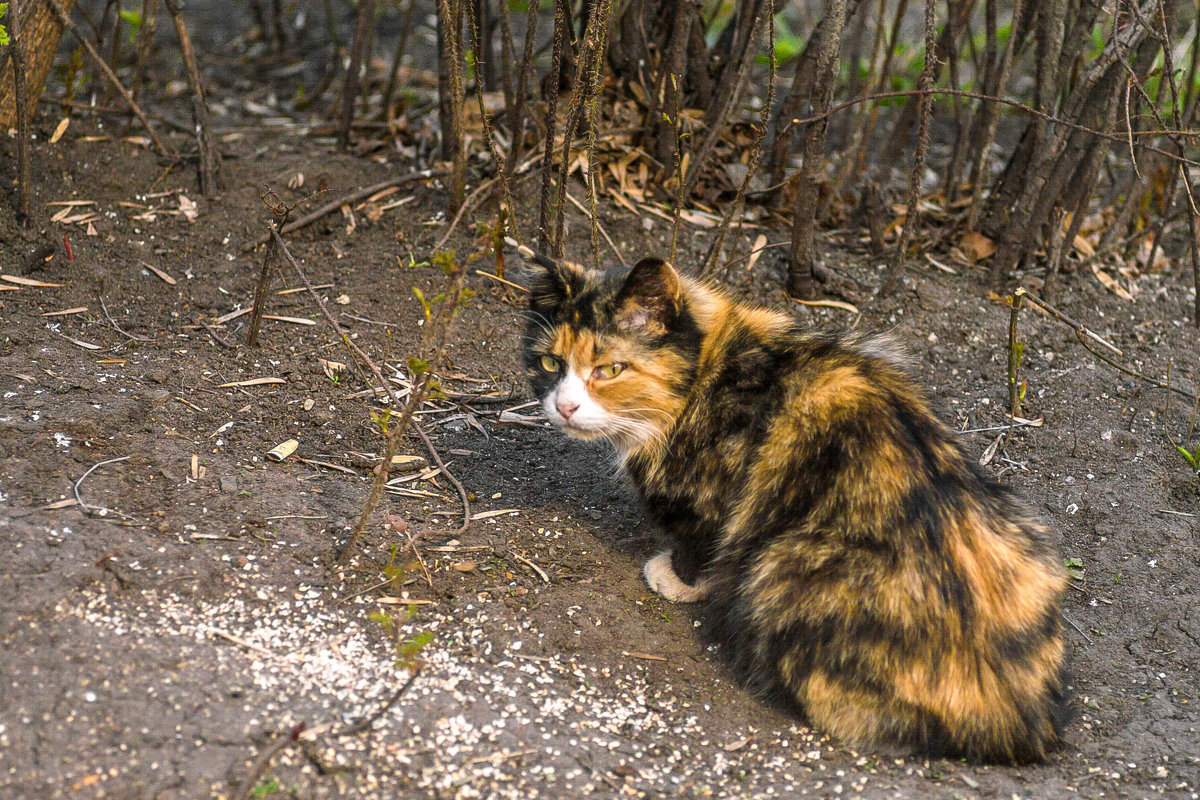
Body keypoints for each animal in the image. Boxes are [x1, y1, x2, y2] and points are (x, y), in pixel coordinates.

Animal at [523, 253, 1070, 767]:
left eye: (610, 369)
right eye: (550, 364)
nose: (564, 406)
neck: (709, 374)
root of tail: (1023, 720)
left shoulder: (714, 492)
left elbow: (700, 539)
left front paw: (677, 580)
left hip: (783, 564)